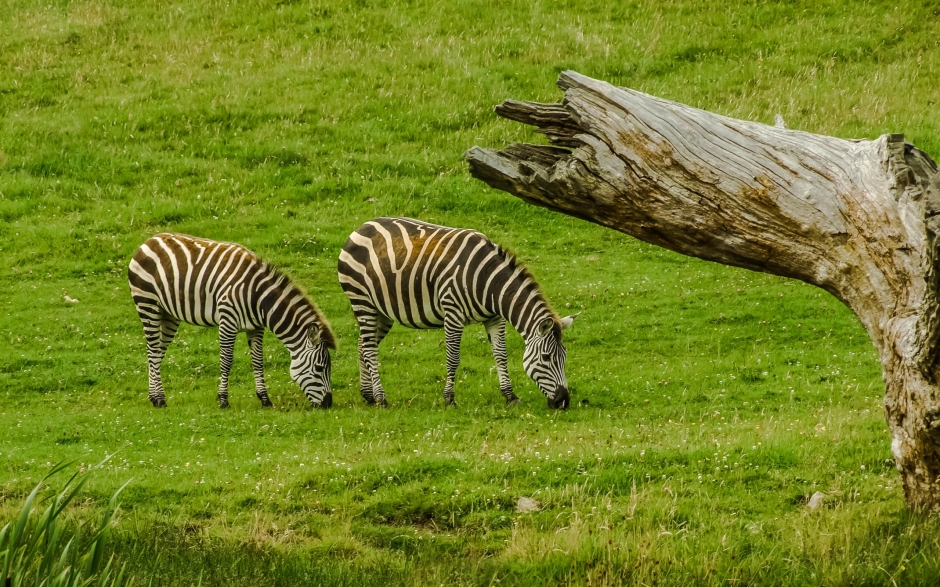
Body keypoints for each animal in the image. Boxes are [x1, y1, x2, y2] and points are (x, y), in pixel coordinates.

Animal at [126, 233, 336, 408]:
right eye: (319, 368)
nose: (328, 404)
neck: (258, 297)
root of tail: (149, 241)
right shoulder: (228, 322)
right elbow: (226, 361)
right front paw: (223, 400)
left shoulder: (256, 327)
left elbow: (258, 361)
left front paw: (264, 399)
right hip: (147, 304)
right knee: (153, 351)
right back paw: (159, 399)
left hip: (169, 314)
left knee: (157, 353)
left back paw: (154, 396)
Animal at [338, 216, 572, 408]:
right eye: (546, 357)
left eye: (564, 356)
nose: (564, 401)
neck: (489, 282)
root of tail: (361, 227)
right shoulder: (453, 314)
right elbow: (453, 358)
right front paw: (449, 398)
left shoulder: (495, 318)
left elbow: (501, 356)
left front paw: (510, 395)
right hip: (362, 301)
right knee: (370, 349)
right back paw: (380, 398)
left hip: (382, 310)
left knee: (362, 344)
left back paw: (368, 395)